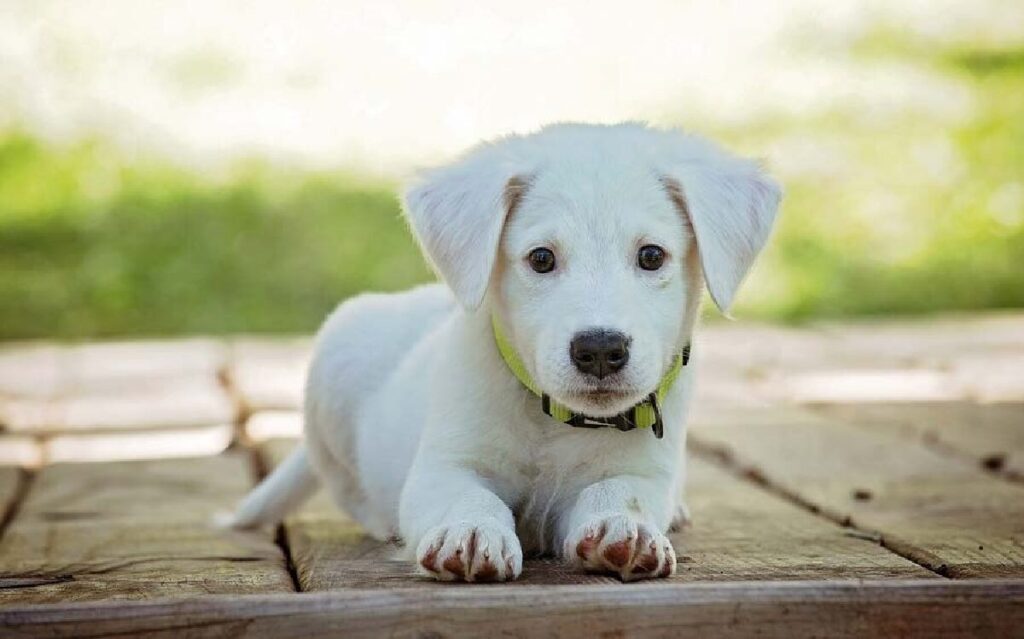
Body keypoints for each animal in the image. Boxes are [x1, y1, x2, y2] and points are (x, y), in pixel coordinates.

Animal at [230, 122, 774, 581]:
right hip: (335, 365)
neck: (554, 420)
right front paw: (471, 532)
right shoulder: (444, 466)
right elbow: (468, 497)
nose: (600, 349)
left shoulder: (642, 471)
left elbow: (619, 491)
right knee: (348, 489)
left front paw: (625, 528)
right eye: (541, 258)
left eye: (652, 256)